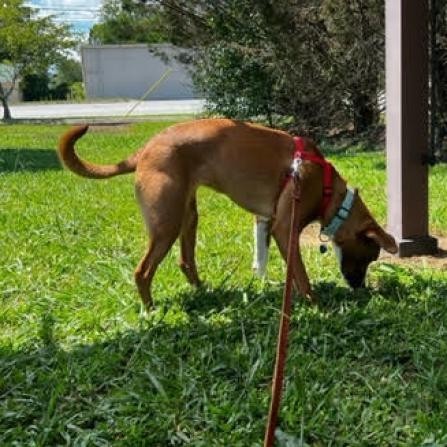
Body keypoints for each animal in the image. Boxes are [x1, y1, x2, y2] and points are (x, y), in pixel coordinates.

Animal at [57, 117, 398, 310]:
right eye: (370, 257)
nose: (359, 288)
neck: (326, 188)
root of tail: (146, 148)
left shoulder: (266, 222)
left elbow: (262, 261)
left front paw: (266, 287)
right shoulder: (285, 228)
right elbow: (299, 273)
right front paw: (313, 303)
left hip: (187, 216)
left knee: (185, 260)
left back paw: (203, 290)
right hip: (166, 223)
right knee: (142, 271)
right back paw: (150, 310)